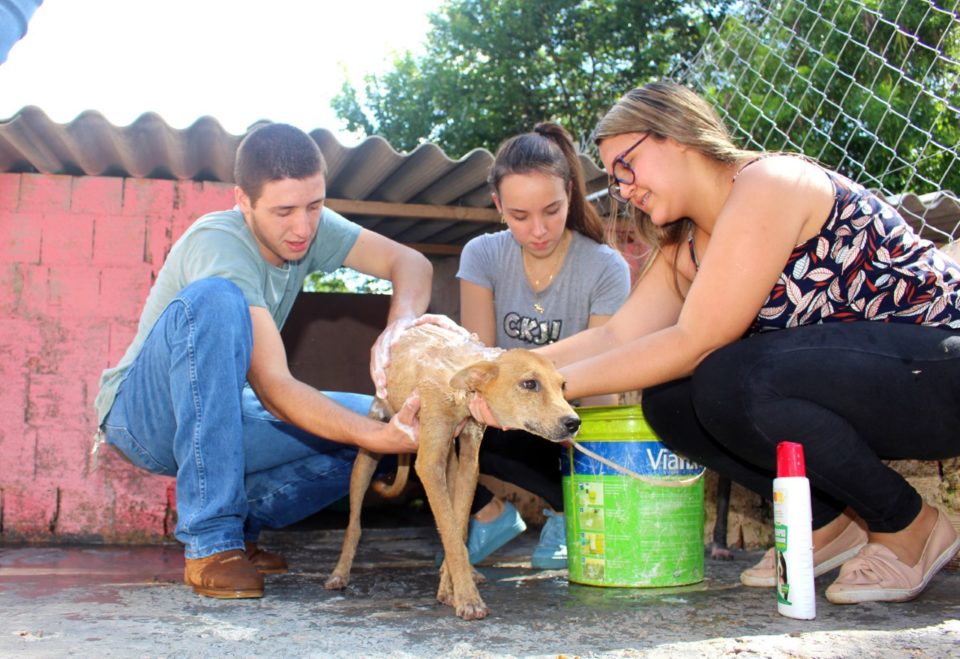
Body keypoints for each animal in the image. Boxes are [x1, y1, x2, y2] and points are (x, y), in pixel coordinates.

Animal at [324, 322, 576, 620]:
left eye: (563, 386)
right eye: (529, 384)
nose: (574, 423)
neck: (458, 381)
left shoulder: (468, 460)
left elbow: (457, 528)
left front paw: (451, 587)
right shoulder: (429, 464)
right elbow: (452, 535)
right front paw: (467, 598)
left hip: (451, 464)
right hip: (368, 453)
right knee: (354, 525)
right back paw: (339, 573)